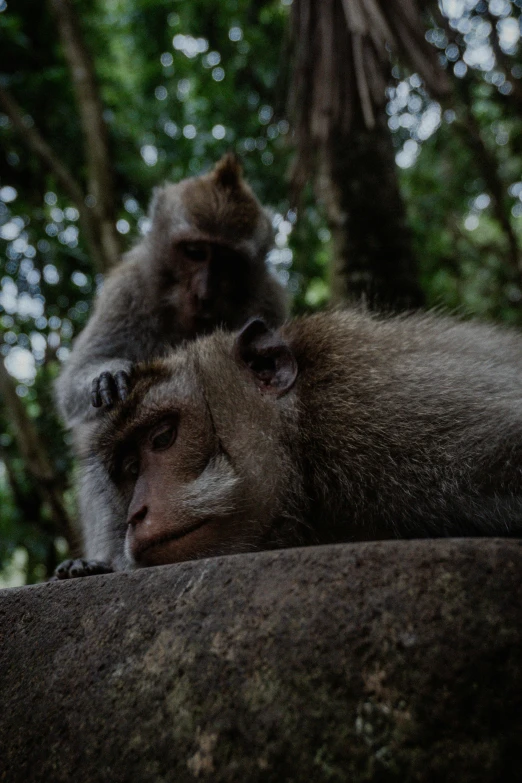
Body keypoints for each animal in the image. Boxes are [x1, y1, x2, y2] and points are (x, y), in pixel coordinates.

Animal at [54, 155, 286, 568]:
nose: (204, 293)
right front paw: (107, 377)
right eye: (195, 251)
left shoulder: (269, 300)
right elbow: (77, 382)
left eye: (226, 261)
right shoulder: (128, 288)